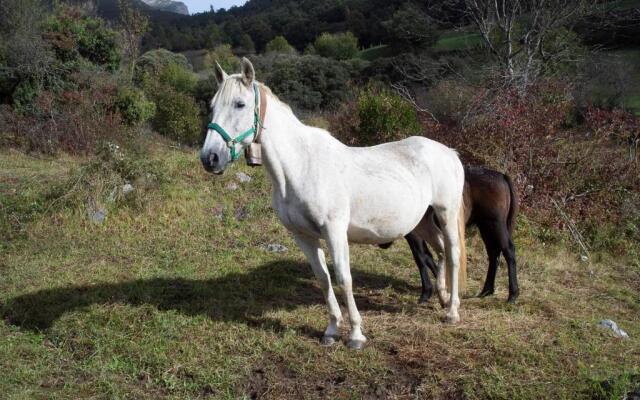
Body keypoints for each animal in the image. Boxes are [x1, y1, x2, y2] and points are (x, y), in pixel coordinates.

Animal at [202, 57, 468, 348]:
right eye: (212, 106)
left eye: (240, 104)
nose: (210, 158)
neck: (301, 166)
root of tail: (448, 152)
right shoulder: (303, 236)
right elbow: (323, 278)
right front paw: (330, 330)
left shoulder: (334, 231)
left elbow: (343, 277)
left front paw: (356, 335)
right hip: (422, 222)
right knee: (441, 252)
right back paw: (442, 298)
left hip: (445, 214)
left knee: (453, 254)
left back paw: (452, 312)